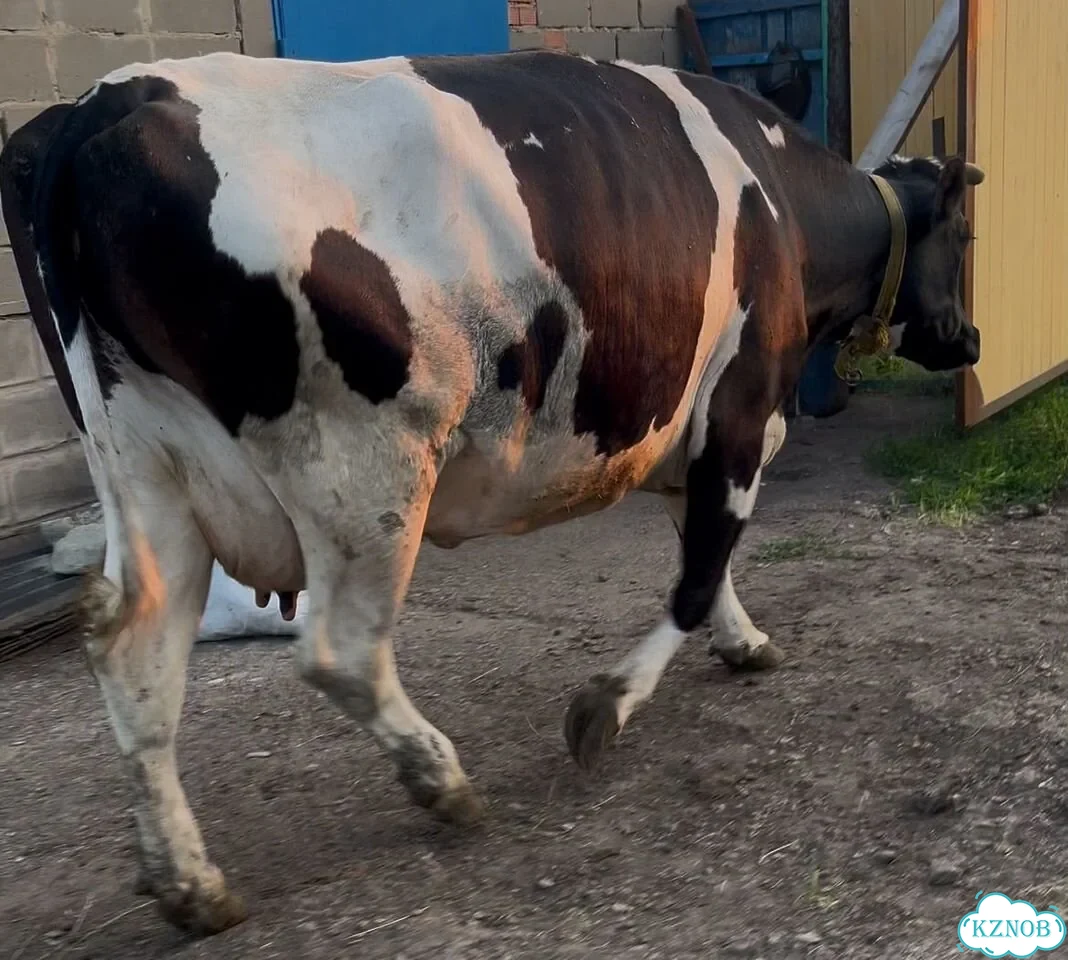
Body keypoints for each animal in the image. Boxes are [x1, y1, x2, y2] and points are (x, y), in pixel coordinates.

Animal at [0, 49, 984, 935]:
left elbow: (701, 549)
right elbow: (699, 567)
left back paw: (189, 883)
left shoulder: (690, 422)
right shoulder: (742, 405)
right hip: (364, 467)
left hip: (143, 461)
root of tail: (103, 102)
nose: (971, 340)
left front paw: (743, 641)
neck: (783, 203)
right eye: (967, 238)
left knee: (137, 654)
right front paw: (607, 705)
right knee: (339, 650)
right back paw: (441, 781)